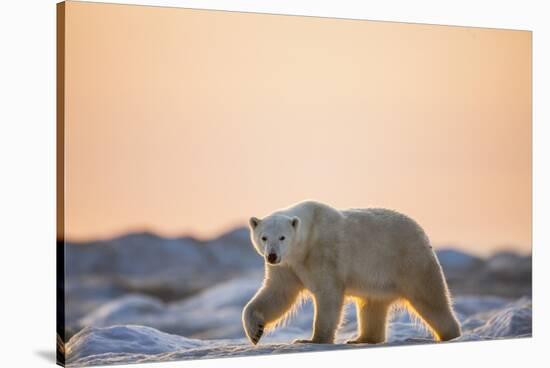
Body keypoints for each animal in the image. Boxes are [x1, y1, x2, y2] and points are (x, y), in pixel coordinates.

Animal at [244, 200, 464, 344]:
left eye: (282, 237)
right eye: (264, 237)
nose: (272, 256)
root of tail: (422, 233)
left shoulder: (323, 253)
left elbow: (328, 294)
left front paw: (312, 340)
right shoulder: (287, 266)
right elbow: (277, 294)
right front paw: (255, 332)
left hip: (409, 263)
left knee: (431, 300)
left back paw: (450, 335)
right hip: (378, 281)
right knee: (371, 306)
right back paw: (361, 339)